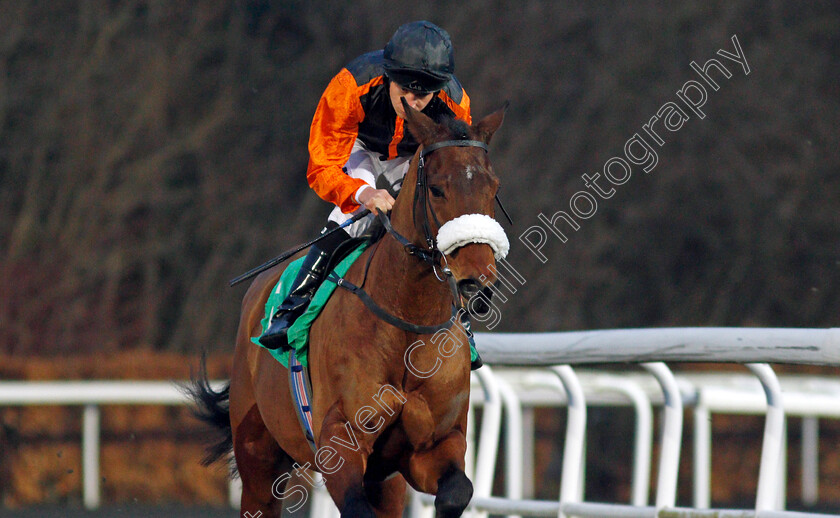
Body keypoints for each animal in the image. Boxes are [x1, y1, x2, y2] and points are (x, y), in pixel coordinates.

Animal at [190, 98, 506, 518]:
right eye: (438, 189)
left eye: (492, 187)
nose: (479, 278)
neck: (407, 325)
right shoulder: (340, 442)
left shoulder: (432, 446)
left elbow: (456, 492)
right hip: (258, 459)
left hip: (384, 482)